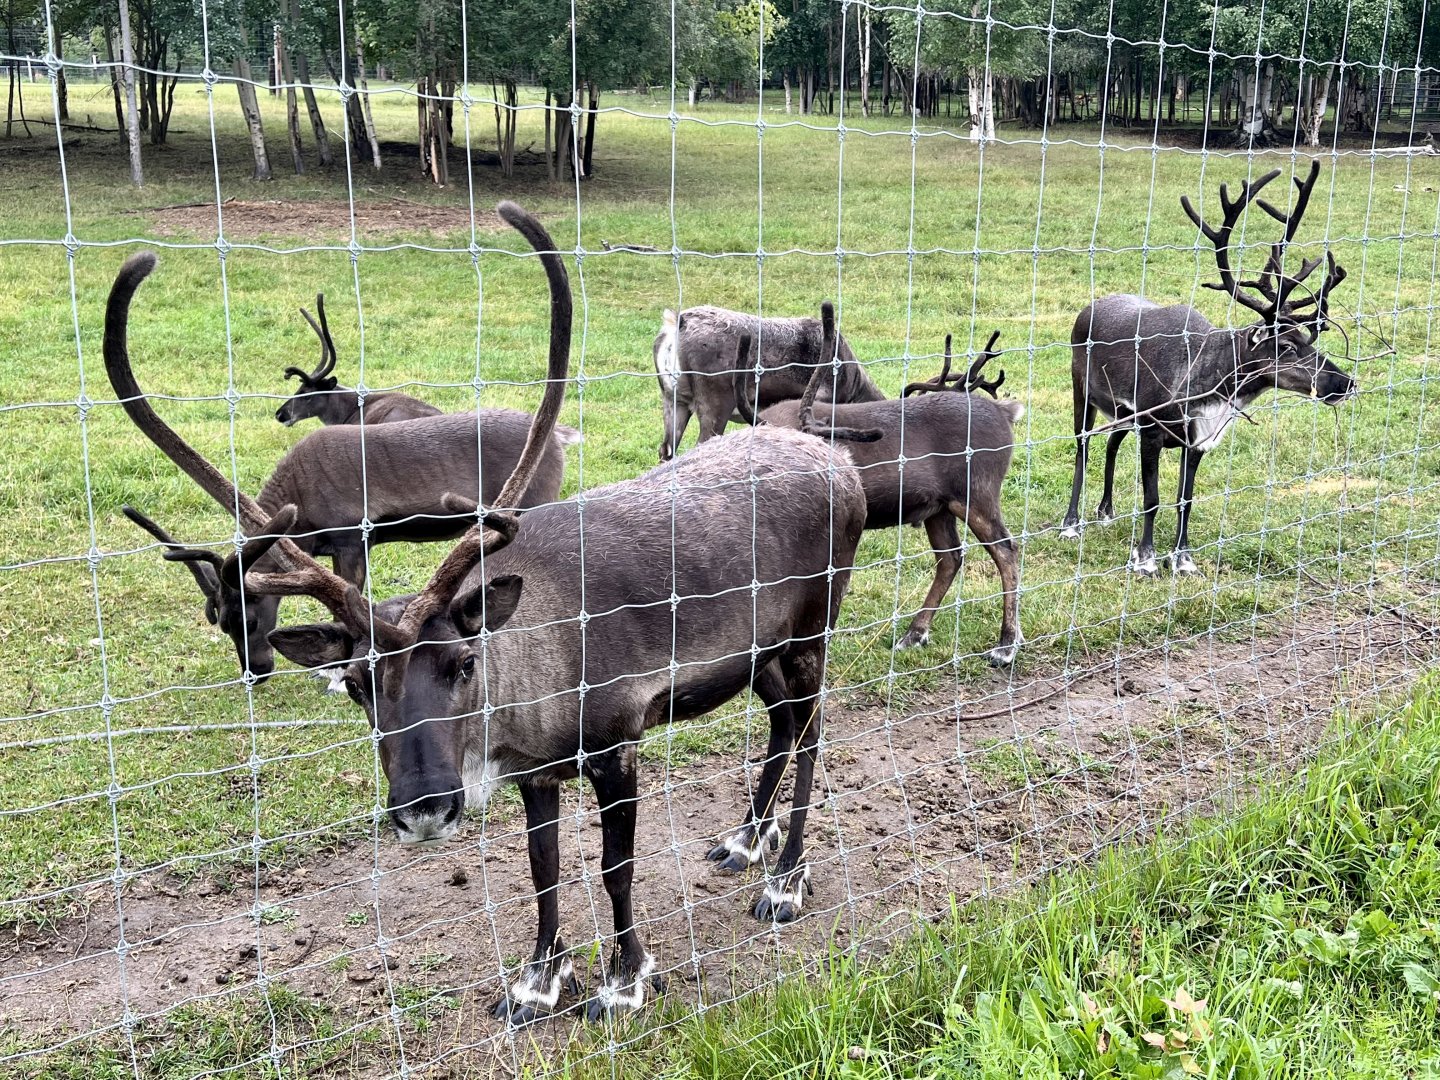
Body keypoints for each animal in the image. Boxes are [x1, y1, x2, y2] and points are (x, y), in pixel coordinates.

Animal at [104, 207, 575, 683]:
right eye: (219, 621)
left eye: (247, 618)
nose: (257, 671)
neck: (298, 503)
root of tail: (558, 436)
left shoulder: (351, 540)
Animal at [242, 329, 869, 1023]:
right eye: (356, 684)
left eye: (464, 663)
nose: (425, 809)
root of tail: (835, 456)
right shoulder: (535, 770)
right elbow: (544, 866)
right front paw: (537, 980)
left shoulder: (616, 745)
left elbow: (615, 868)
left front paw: (625, 979)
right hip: (760, 651)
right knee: (783, 721)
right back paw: (746, 841)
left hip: (813, 627)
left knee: (812, 732)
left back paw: (787, 880)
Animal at [738, 307, 1024, 663]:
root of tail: (1005, 413)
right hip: (939, 507)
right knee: (951, 557)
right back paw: (914, 634)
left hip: (976, 493)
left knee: (1006, 549)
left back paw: (1006, 644)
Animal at [1061, 159, 1355, 576]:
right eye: (1284, 346)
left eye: (1308, 339)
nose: (1345, 383)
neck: (1206, 386)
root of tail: (1088, 307)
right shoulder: (1152, 429)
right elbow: (1152, 497)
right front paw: (1145, 558)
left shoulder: (1197, 440)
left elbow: (1185, 499)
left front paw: (1183, 559)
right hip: (1081, 389)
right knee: (1083, 446)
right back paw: (1071, 524)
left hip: (1122, 411)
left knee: (1112, 442)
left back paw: (1106, 511)